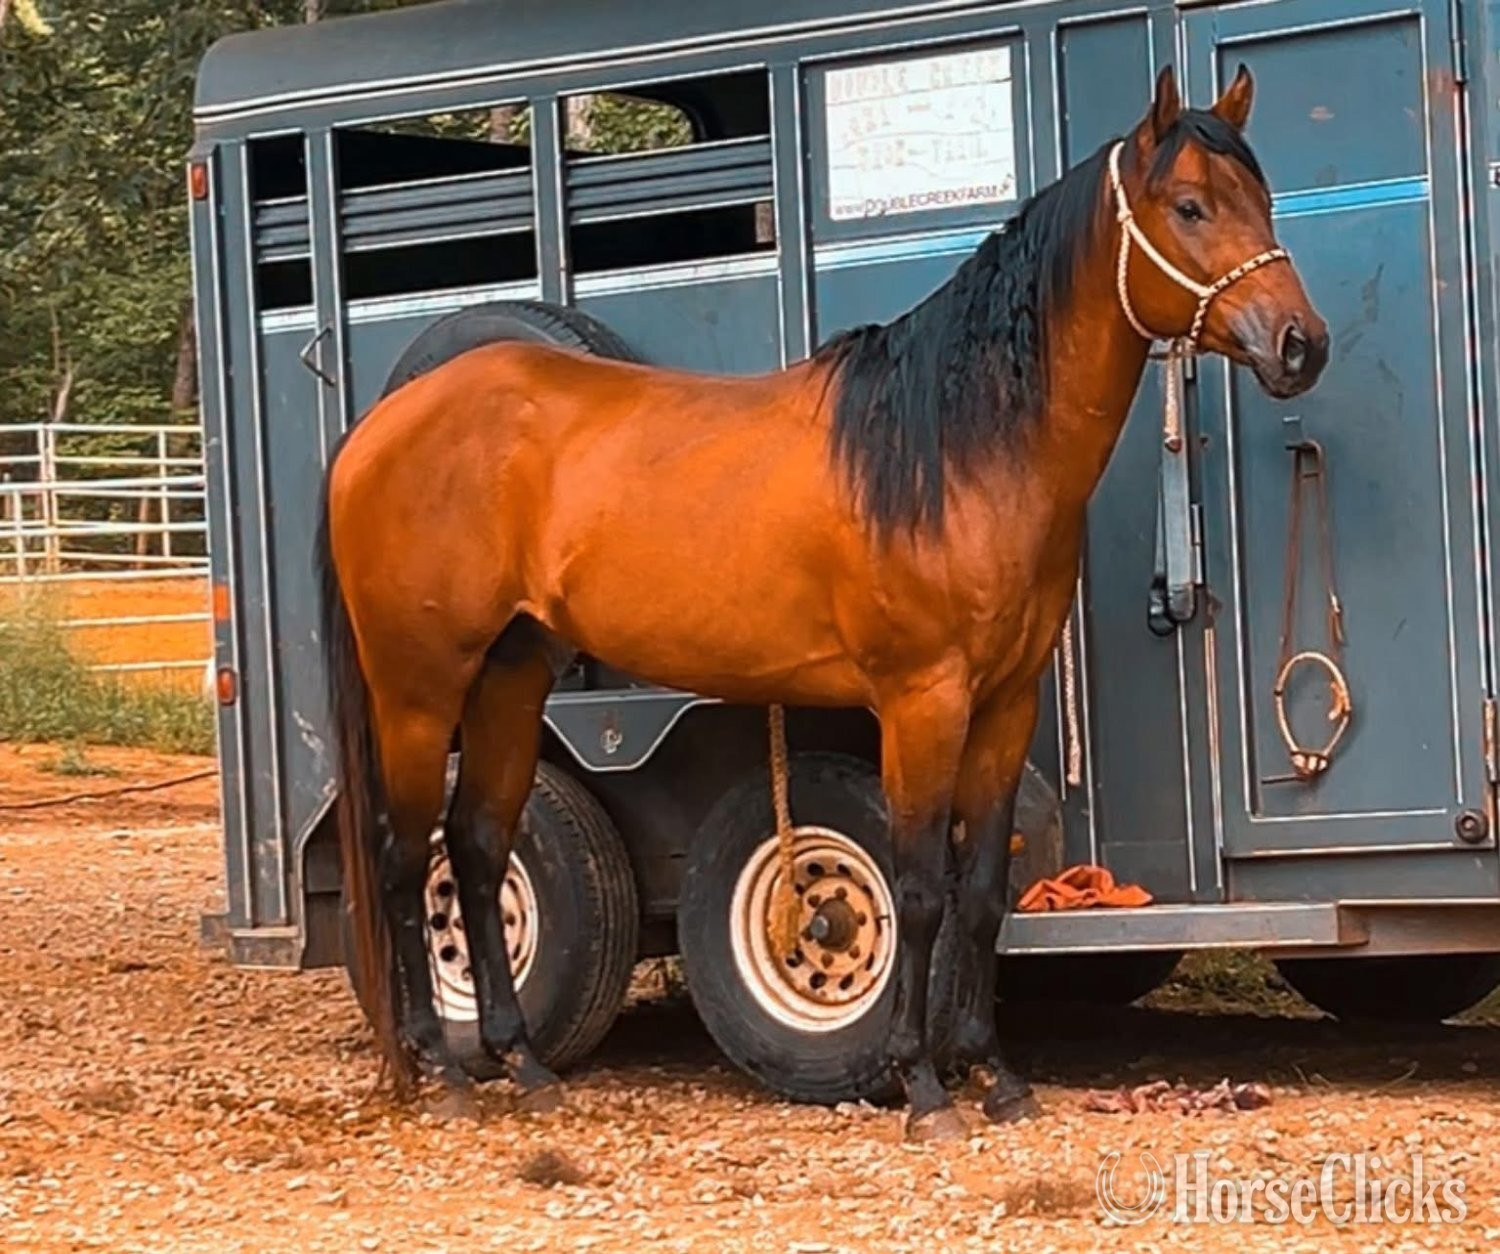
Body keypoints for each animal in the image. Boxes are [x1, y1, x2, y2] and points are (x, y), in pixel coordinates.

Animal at [318, 64, 1328, 1140]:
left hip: (511, 677)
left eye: (1260, 197)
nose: (1301, 345)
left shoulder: (1004, 706)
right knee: (403, 857)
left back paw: (525, 1065)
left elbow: (981, 892)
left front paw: (996, 1075)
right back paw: (444, 1072)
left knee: (476, 846)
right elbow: (920, 887)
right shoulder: (922, 702)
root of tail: (379, 426)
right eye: (1189, 207)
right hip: (419, 689)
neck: (957, 448)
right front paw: (922, 1086)